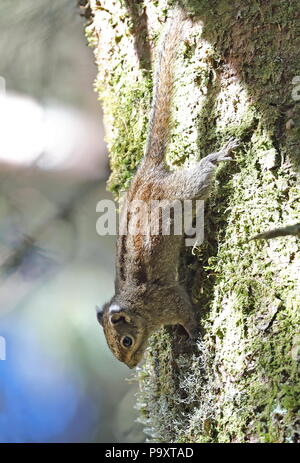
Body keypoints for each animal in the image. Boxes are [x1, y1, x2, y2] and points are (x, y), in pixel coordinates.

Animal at [96, 9, 239, 368]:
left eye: (127, 341)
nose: (131, 364)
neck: (139, 307)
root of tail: (148, 169)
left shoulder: (169, 300)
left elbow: (187, 314)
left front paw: (196, 334)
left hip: (188, 188)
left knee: (203, 171)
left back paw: (221, 154)